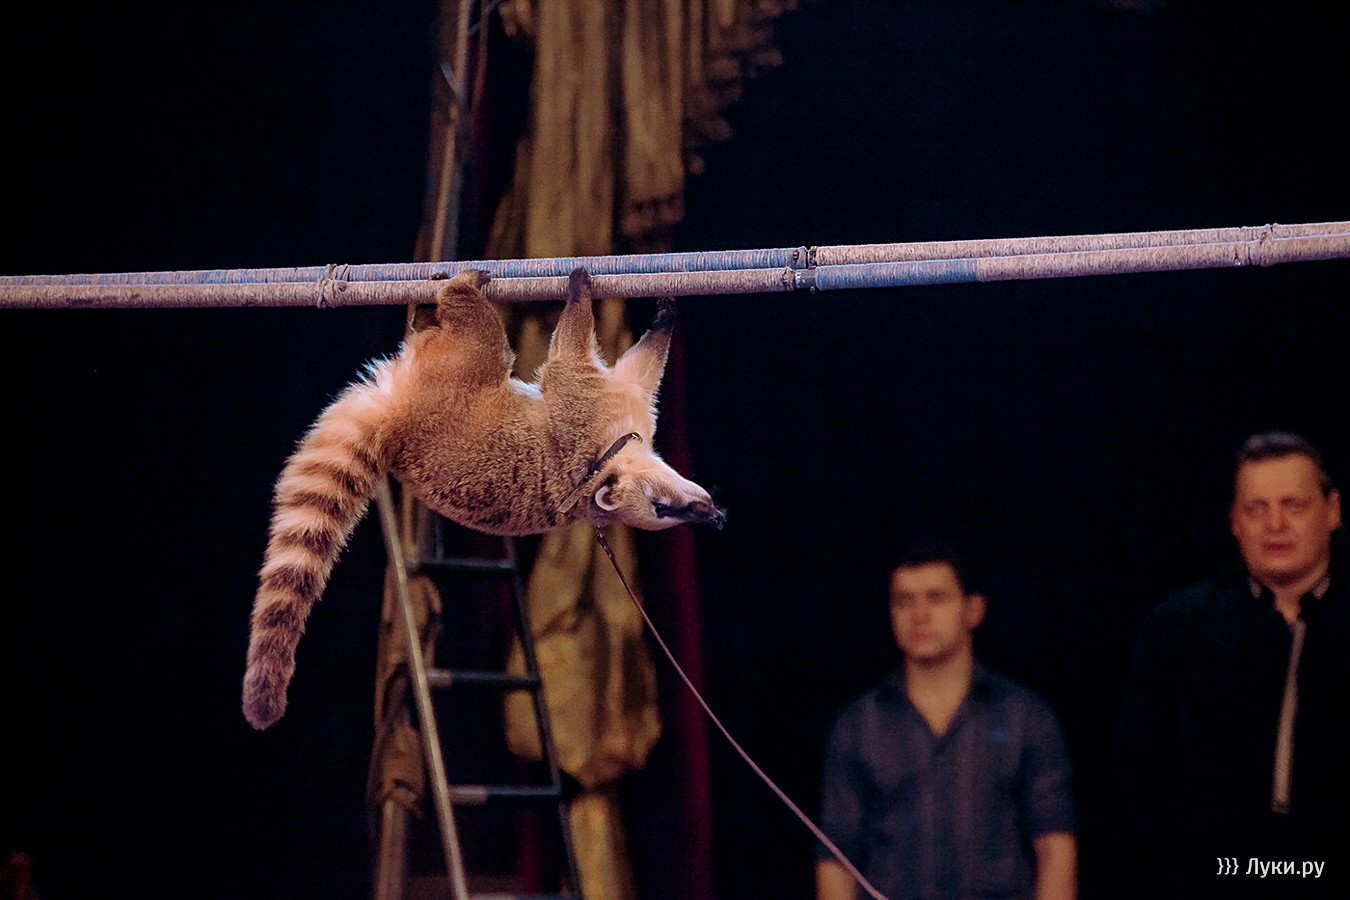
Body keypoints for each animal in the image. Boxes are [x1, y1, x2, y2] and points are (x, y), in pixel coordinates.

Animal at [242, 267, 724, 730]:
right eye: (664, 510)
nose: (715, 516)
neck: (613, 465)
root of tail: (398, 424)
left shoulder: (603, 422)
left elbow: (604, 370)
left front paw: (636, 315)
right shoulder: (590, 425)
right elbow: (580, 368)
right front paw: (594, 300)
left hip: (454, 372)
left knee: (480, 337)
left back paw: (451, 298)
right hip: (457, 378)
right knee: (487, 340)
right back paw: (454, 295)